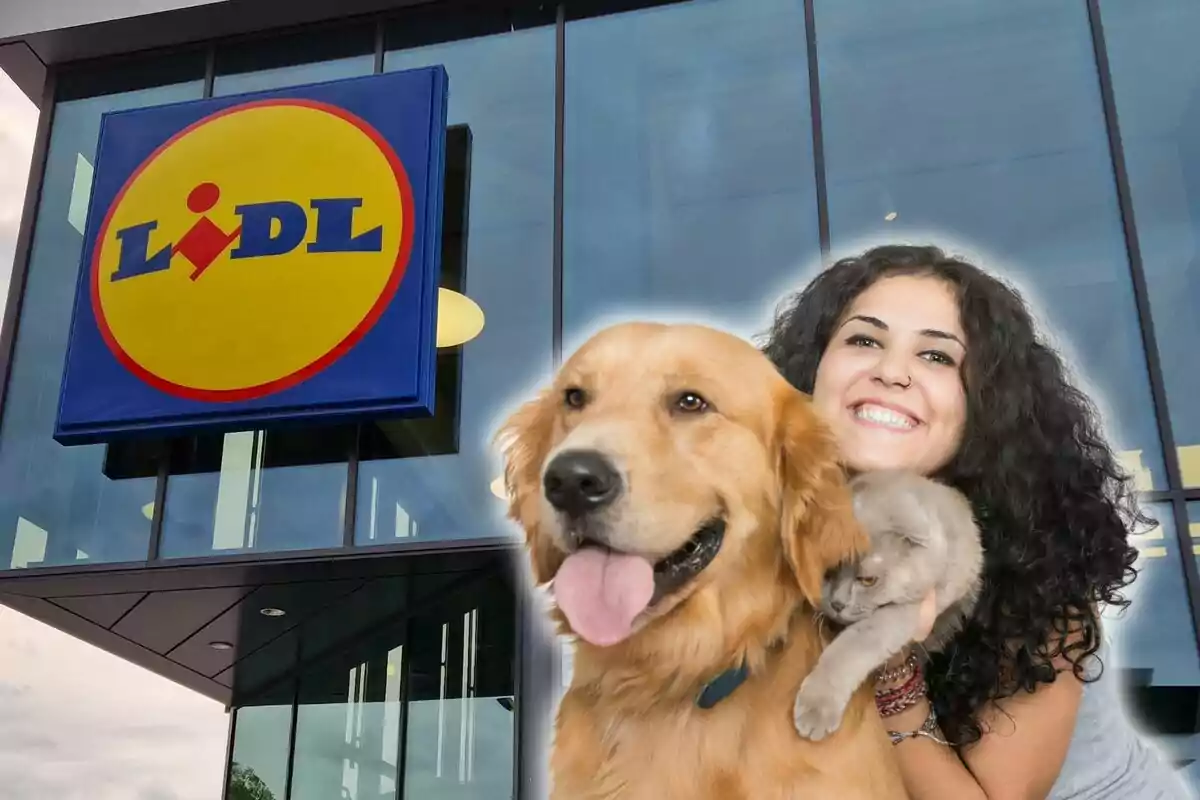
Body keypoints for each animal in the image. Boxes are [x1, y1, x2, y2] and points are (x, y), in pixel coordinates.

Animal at [792, 470, 979, 743]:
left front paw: (816, 709)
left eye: (868, 580)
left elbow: (851, 646)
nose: (837, 603)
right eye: (829, 571)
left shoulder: (908, 608)